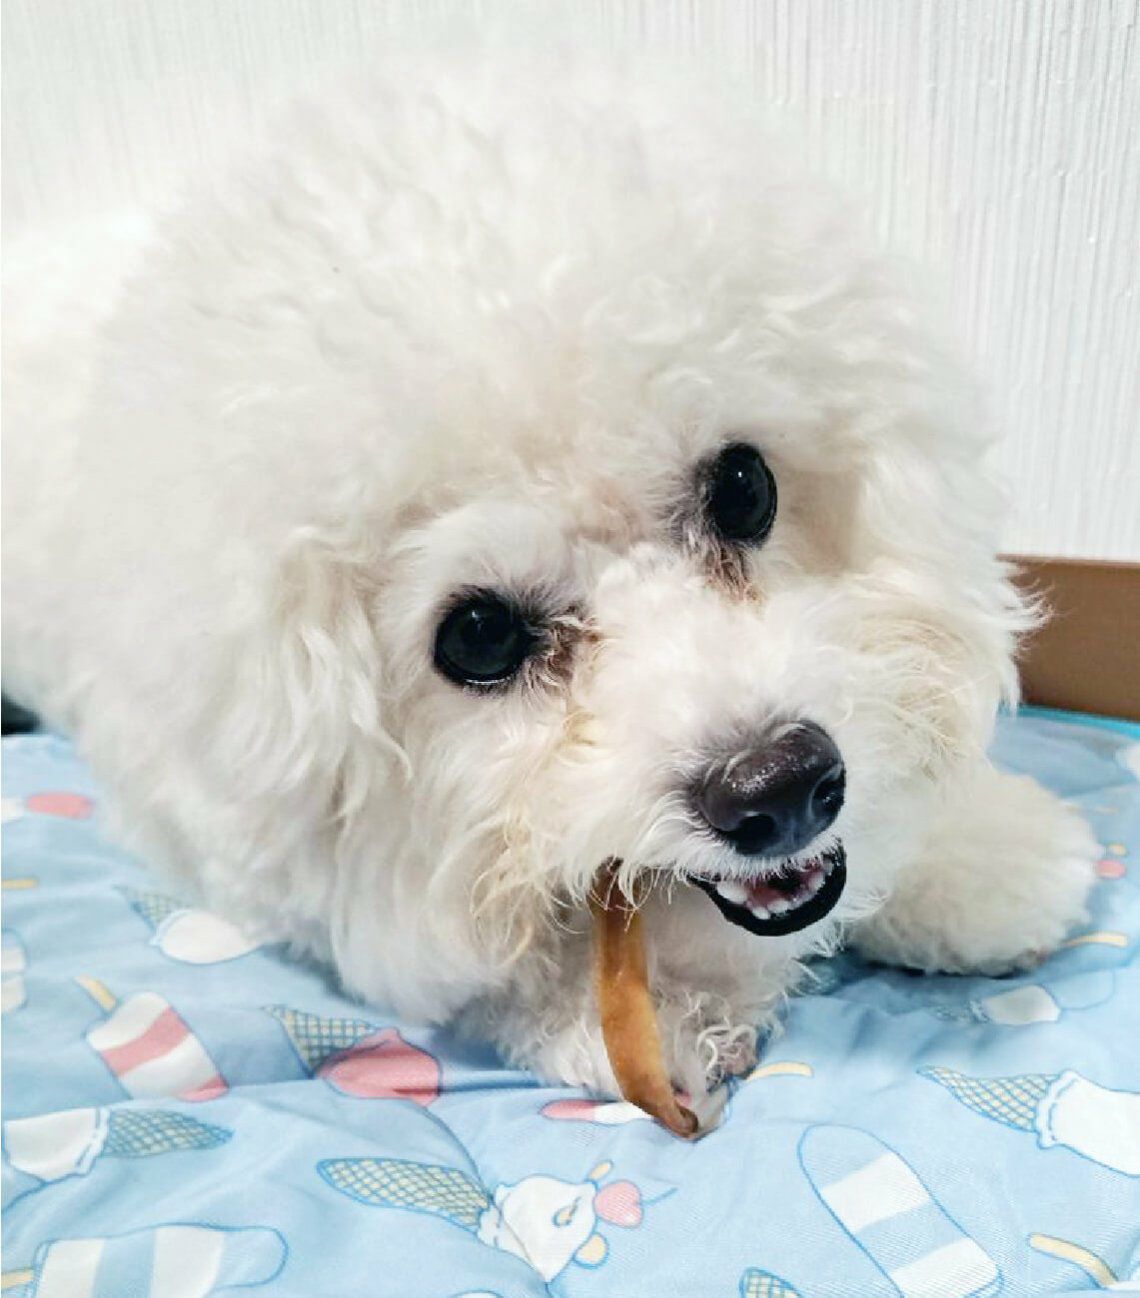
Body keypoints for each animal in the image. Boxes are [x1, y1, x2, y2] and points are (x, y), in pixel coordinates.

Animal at [3, 46, 1097, 1114]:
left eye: (746, 486)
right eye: (479, 635)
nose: (781, 790)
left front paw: (976, 851)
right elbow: (465, 953)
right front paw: (630, 1011)